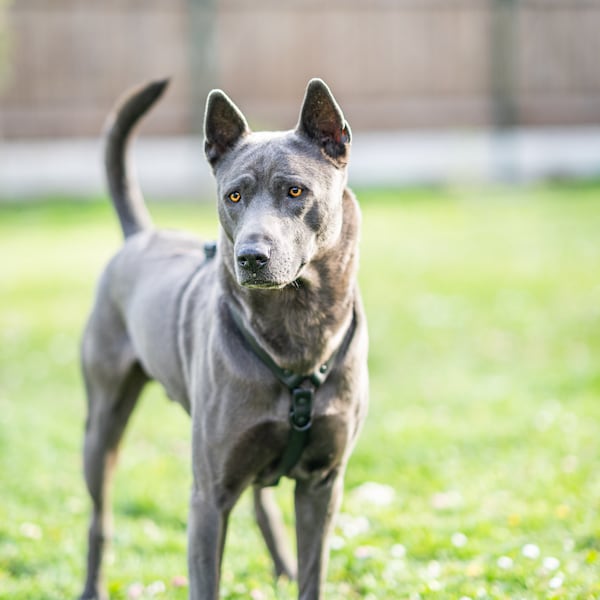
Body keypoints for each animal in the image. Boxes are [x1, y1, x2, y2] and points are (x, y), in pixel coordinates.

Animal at [78, 79, 370, 600]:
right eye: (234, 196)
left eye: (295, 191)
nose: (250, 256)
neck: (296, 322)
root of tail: (140, 236)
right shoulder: (208, 497)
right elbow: (204, 579)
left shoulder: (322, 484)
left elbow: (312, 575)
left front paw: (297, 573)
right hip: (103, 422)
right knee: (100, 517)